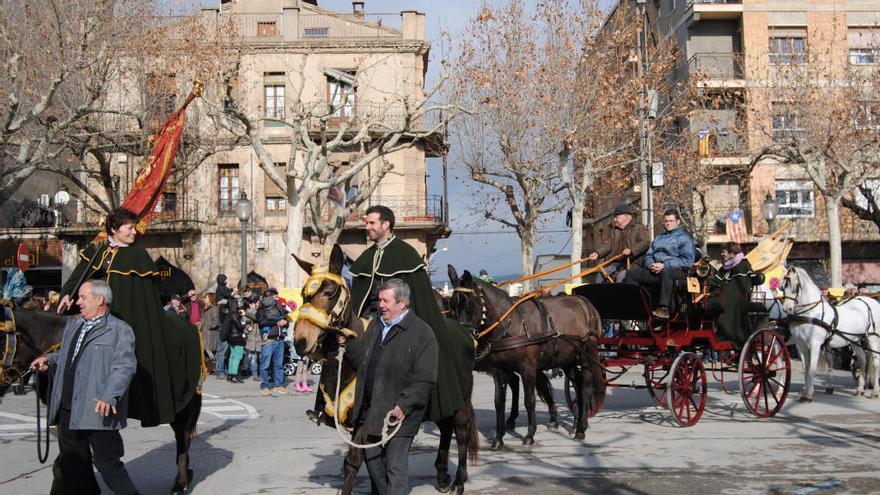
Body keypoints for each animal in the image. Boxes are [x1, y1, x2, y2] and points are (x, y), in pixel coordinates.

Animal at [292, 248, 478, 495]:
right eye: (304, 294)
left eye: (330, 292)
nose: (300, 341)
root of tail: (465, 333)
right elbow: (374, 461)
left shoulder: (364, 420)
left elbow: (353, 461)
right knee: (446, 427)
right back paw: (441, 476)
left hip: (461, 399)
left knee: (462, 430)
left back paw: (459, 481)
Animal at [446, 270, 604, 448]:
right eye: (452, 305)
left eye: (470, 304)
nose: (461, 339)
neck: (512, 324)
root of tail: (585, 303)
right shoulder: (499, 371)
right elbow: (499, 402)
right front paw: (498, 438)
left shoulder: (528, 369)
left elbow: (529, 401)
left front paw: (529, 435)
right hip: (567, 360)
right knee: (575, 385)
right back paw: (575, 423)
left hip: (586, 357)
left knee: (585, 389)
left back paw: (581, 429)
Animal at [780, 268, 876, 404]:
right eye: (783, 286)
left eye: (795, 286)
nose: (786, 308)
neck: (811, 313)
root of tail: (870, 301)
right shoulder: (801, 345)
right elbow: (805, 368)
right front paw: (804, 392)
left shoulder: (815, 344)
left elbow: (812, 369)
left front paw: (808, 394)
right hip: (854, 340)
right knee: (862, 359)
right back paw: (860, 389)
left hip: (873, 338)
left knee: (876, 363)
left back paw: (875, 392)